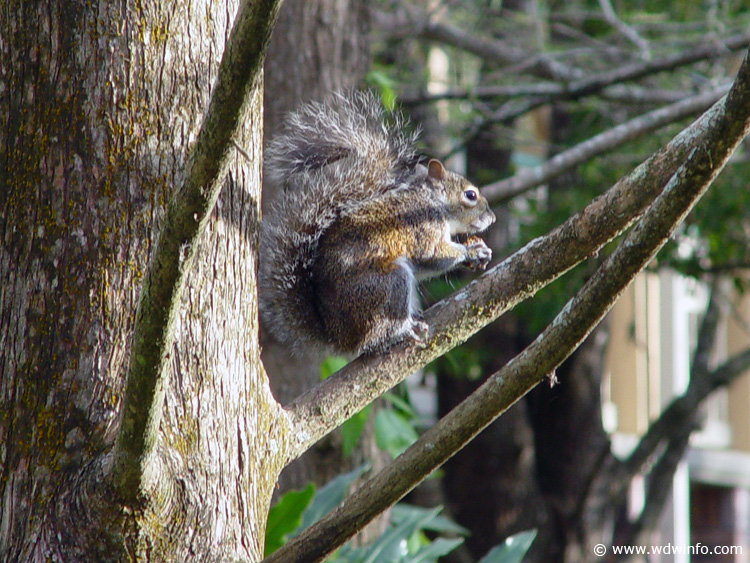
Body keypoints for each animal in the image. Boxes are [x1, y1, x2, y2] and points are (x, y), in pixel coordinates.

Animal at [262, 92, 496, 356]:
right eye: (470, 195)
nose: (492, 217)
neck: (431, 202)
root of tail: (340, 337)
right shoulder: (422, 229)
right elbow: (432, 255)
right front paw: (471, 251)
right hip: (388, 283)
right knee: (374, 336)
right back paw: (401, 330)